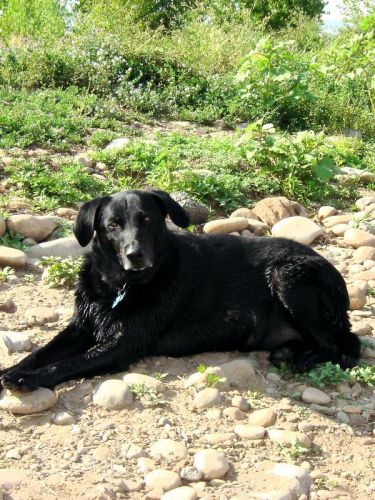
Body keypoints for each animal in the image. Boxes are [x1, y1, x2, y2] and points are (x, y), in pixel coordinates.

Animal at [0, 188, 362, 390]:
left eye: (147, 220)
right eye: (112, 225)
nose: (135, 255)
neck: (120, 286)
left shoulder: (121, 346)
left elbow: (65, 364)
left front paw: (28, 379)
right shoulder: (80, 326)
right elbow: (41, 352)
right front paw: (13, 370)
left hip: (288, 276)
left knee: (343, 344)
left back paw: (305, 358)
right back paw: (289, 352)